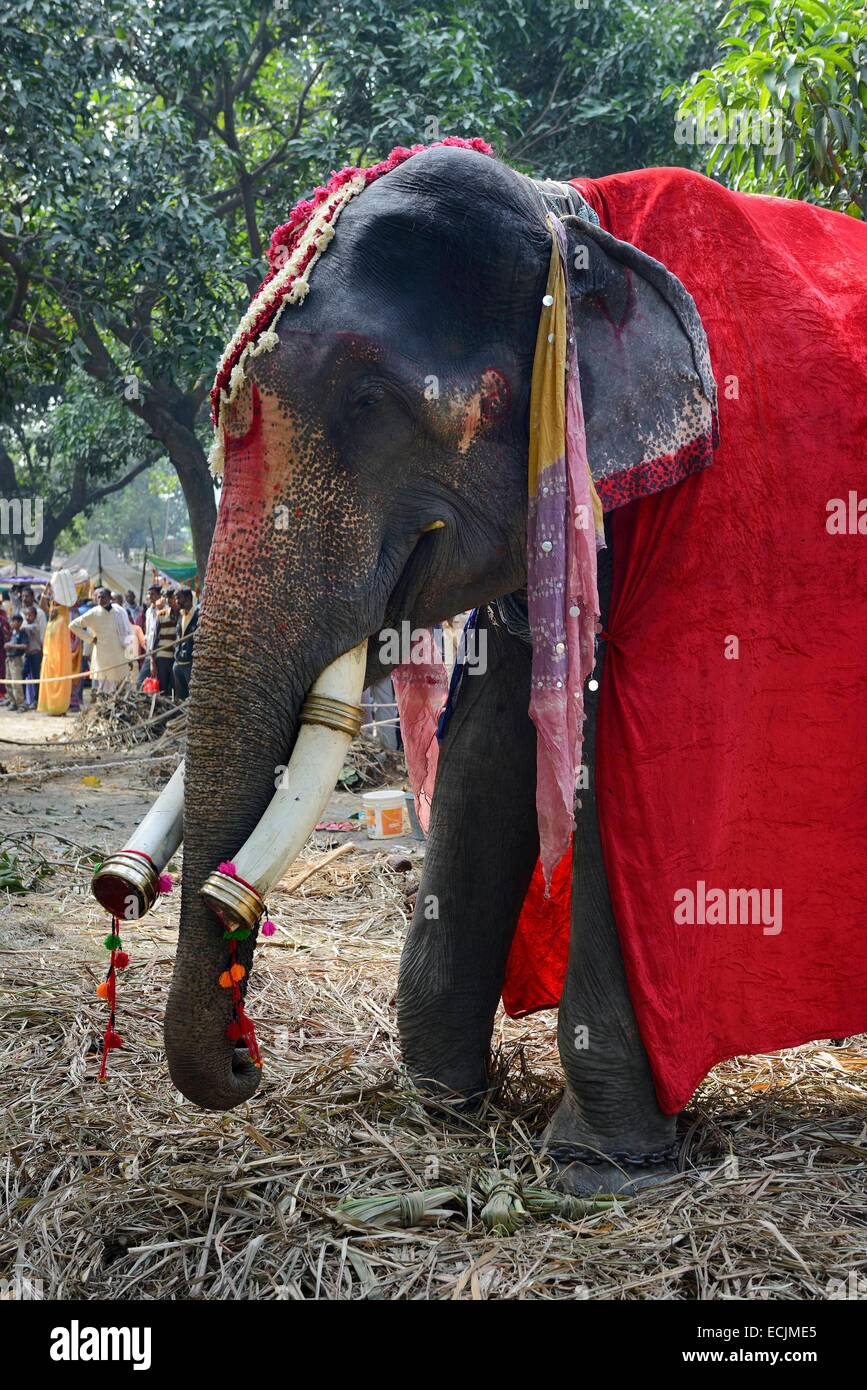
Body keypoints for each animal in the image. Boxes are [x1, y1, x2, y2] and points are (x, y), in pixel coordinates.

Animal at [103, 143, 867, 1206]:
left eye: (371, 403)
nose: (250, 1059)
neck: (573, 218)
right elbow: (493, 748)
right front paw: (438, 1103)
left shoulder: (716, 554)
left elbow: (620, 769)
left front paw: (603, 1165)